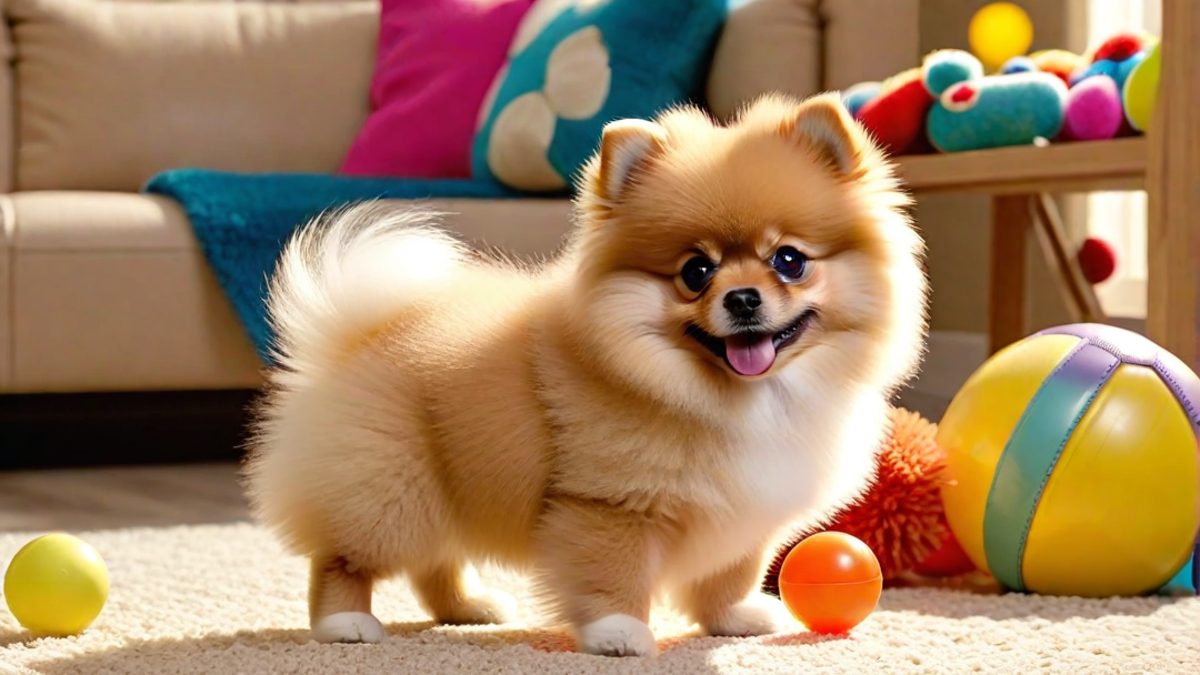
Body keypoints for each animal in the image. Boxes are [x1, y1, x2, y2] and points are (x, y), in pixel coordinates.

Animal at [243, 91, 926, 653]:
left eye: (789, 261)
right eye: (695, 272)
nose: (742, 298)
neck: (732, 397)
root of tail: (356, 333)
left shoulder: (748, 510)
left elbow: (731, 571)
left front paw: (734, 618)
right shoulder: (608, 502)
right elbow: (612, 574)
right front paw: (618, 633)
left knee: (434, 562)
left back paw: (468, 607)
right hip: (394, 488)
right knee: (345, 558)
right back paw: (345, 624)